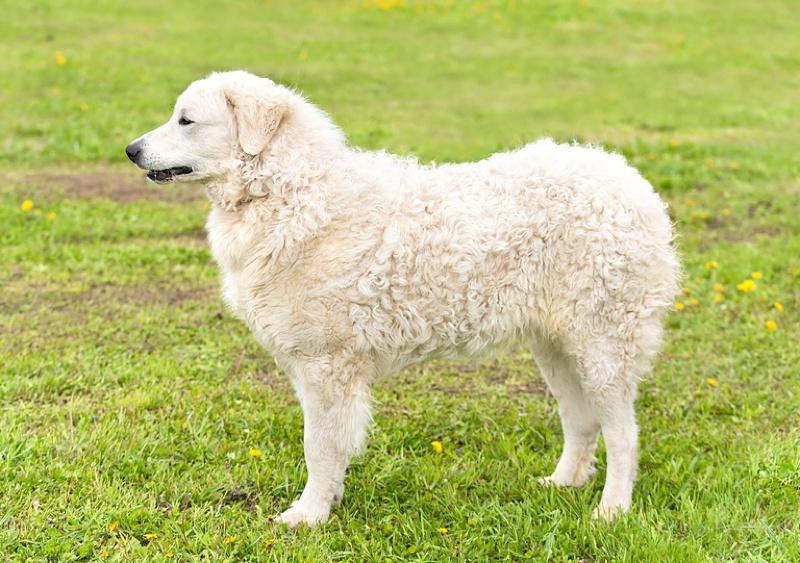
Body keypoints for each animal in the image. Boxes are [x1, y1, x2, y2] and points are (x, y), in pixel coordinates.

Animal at [126, 71, 680, 528]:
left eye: (186, 120)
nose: (130, 149)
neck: (288, 192)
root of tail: (630, 180)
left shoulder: (326, 366)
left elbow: (318, 446)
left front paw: (307, 516)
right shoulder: (311, 366)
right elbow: (328, 447)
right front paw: (326, 504)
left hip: (603, 345)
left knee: (622, 434)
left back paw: (612, 510)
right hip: (557, 347)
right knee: (581, 421)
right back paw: (562, 484)